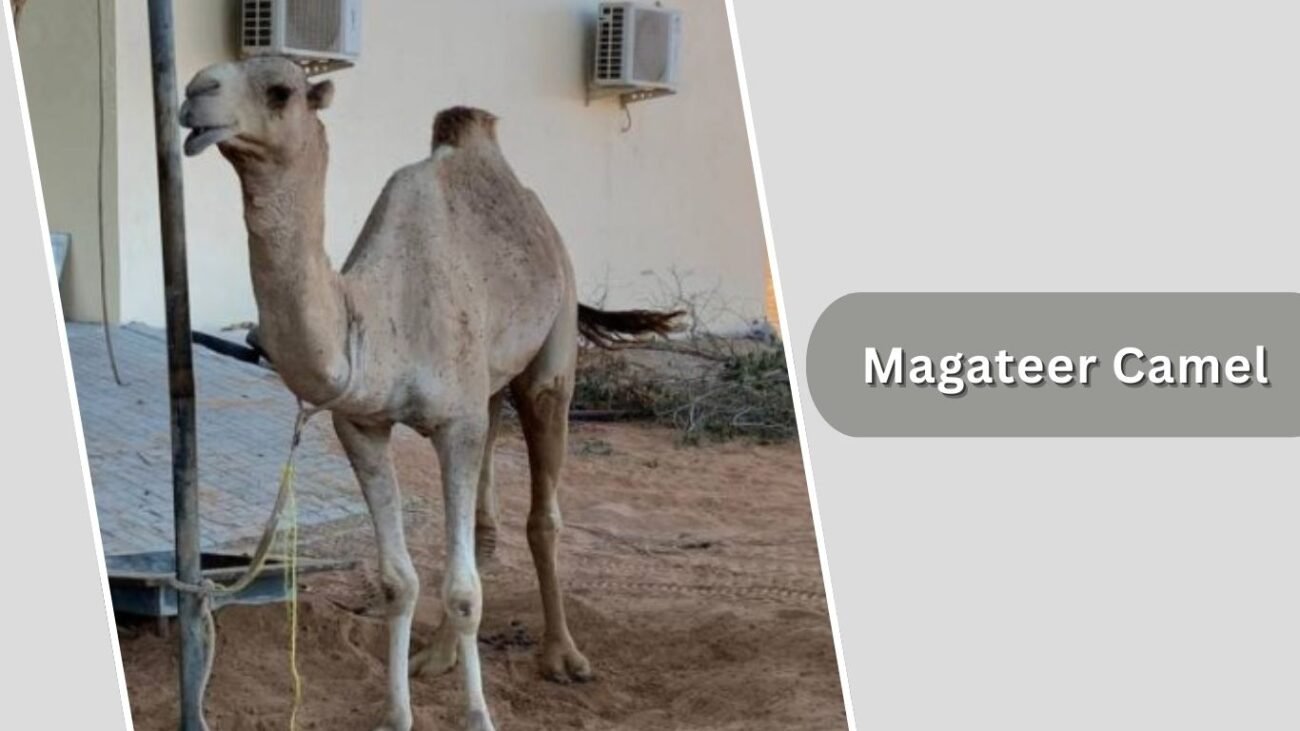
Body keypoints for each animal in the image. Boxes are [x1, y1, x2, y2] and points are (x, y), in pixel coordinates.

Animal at [179, 56, 678, 731]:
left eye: (281, 90)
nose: (194, 91)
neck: (376, 320)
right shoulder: (362, 425)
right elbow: (400, 580)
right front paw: (397, 714)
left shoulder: (455, 424)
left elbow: (465, 591)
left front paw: (479, 717)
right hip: (486, 388)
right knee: (480, 522)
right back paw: (438, 656)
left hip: (552, 353)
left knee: (541, 511)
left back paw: (564, 656)